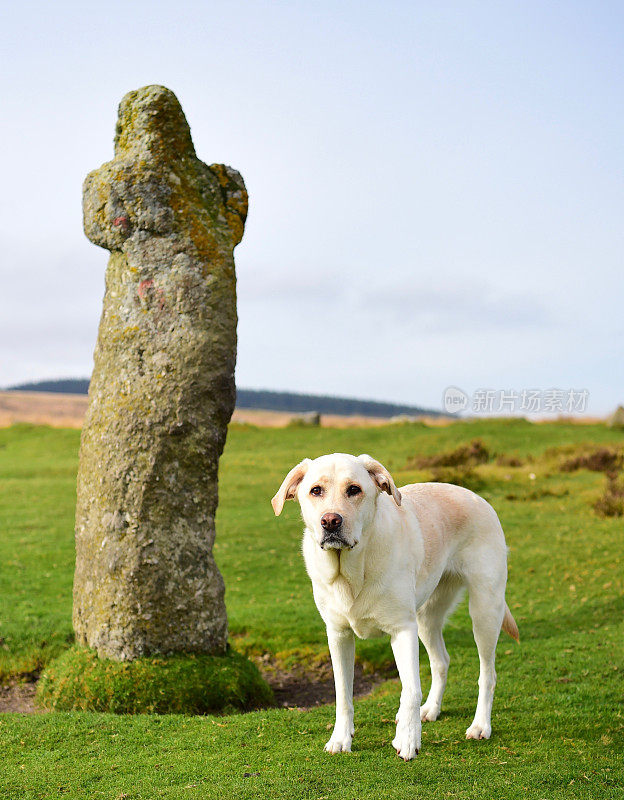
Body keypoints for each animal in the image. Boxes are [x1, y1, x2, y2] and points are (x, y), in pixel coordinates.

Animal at [270, 454, 520, 760]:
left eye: (354, 489)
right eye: (315, 490)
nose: (330, 521)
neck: (352, 571)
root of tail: (477, 497)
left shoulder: (402, 630)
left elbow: (410, 689)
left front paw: (408, 740)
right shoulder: (338, 635)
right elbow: (343, 694)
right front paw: (341, 738)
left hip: (485, 609)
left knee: (487, 673)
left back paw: (480, 725)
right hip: (426, 617)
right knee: (441, 661)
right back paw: (431, 709)